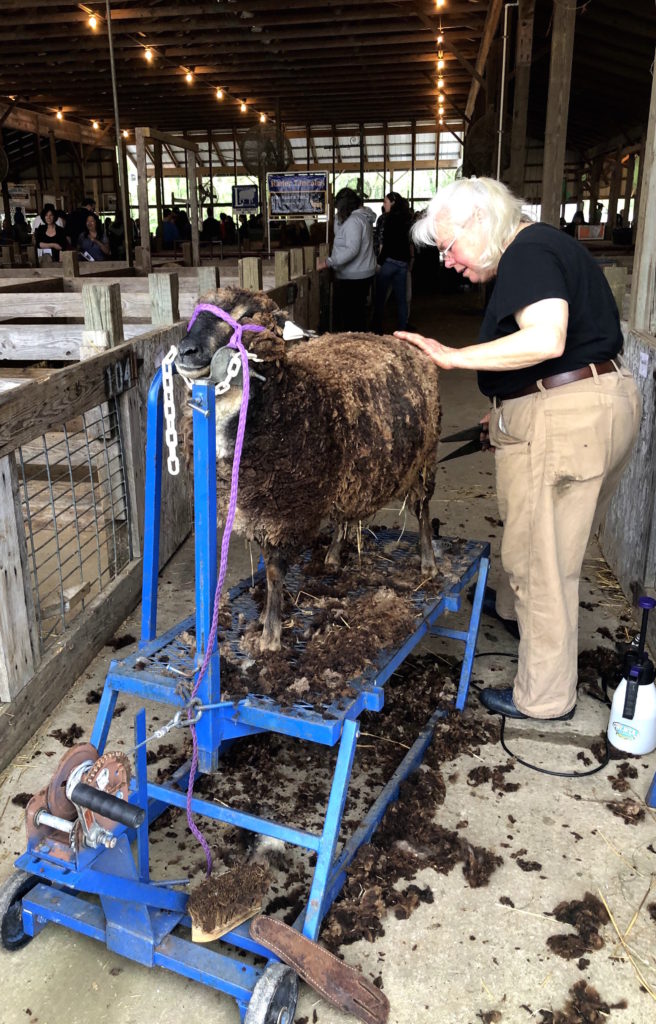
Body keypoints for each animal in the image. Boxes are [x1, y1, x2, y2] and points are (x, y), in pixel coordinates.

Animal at [175, 286, 440, 655]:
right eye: (196, 314)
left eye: (248, 315)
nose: (186, 351)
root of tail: (399, 342)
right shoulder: (260, 512)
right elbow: (269, 570)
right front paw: (266, 620)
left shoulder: (286, 513)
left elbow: (274, 573)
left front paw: (270, 636)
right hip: (349, 473)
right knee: (346, 513)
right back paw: (332, 556)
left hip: (424, 459)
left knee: (421, 507)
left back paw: (428, 562)